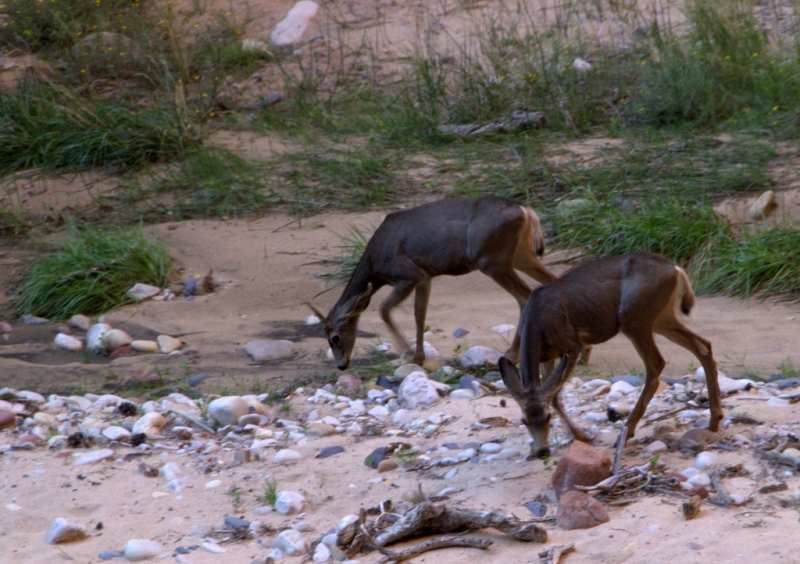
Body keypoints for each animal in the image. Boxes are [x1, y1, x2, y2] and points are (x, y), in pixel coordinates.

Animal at [306, 194, 556, 370]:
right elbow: (420, 315)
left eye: (335, 337)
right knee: (550, 281)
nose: (341, 365)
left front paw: (407, 354)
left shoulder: (408, 274)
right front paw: (418, 356)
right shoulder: (426, 276)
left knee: (525, 295)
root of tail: (526, 210)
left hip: (491, 260)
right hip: (520, 254)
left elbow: (384, 310)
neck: (373, 265)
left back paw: (512, 355)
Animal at [496, 253, 720, 460]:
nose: (543, 451)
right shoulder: (547, 356)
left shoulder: (573, 346)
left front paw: (583, 436)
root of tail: (675, 268)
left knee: (657, 363)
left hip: (635, 318)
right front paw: (535, 448)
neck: (536, 323)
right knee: (703, 346)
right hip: (660, 317)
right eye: (523, 420)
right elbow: (550, 391)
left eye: (548, 417)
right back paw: (714, 420)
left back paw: (626, 432)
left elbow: (556, 397)